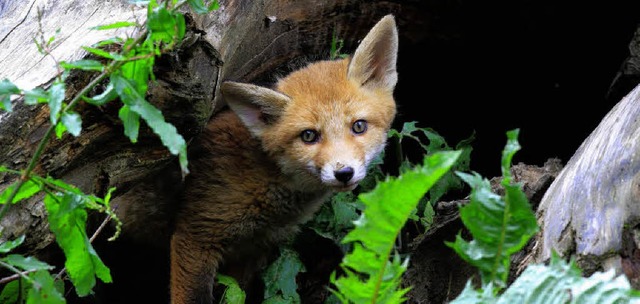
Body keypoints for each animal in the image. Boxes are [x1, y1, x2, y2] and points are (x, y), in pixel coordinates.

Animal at [168, 13, 398, 302]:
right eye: (308, 136)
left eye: (359, 126)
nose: (343, 173)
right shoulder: (196, 233)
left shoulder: (254, 248)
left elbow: (235, 292)